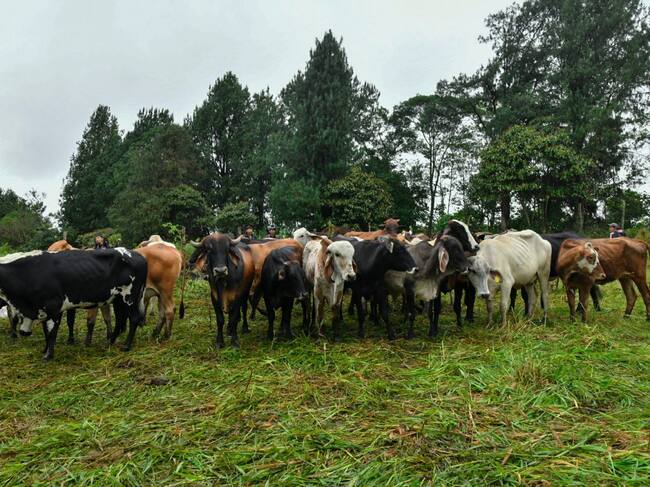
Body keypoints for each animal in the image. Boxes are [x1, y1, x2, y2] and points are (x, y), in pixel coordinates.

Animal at [0, 248, 147, 360]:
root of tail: (138, 255)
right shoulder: (44, 310)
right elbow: (46, 332)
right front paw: (45, 350)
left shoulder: (54, 307)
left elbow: (51, 332)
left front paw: (48, 355)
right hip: (118, 299)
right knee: (120, 320)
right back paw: (109, 343)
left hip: (129, 297)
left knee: (134, 319)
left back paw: (126, 346)